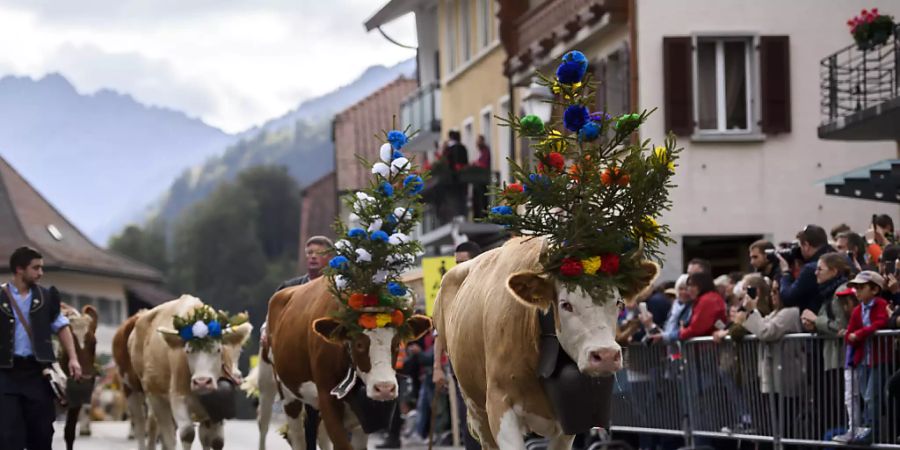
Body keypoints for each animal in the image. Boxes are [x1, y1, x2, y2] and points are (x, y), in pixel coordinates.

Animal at [113, 296, 253, 450]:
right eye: (187, 351)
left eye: (218, 350)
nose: (202, 382)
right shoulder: (177, 397)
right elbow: (187, 433)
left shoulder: (214, 409)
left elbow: (215, 440)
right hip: (139, 391)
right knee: (143, 425)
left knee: (156, 427)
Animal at [266, 274, 430, 450]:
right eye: (359, 344)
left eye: (397, 343)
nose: (385, 388)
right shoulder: (327, 399)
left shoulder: (363, 416)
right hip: (288, 395)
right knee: (297, 437)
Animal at [432, 236, 656, 450]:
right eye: (565, 304)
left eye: (618, 303)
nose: (606, 355)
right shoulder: (499, 404)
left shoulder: (572, 414)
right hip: (474, 406)